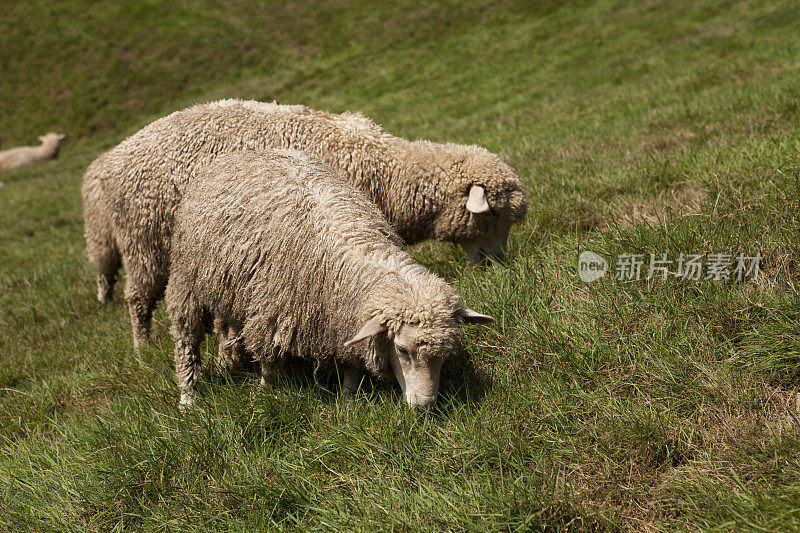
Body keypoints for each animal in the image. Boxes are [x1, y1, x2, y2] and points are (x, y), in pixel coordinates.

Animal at [84, 98, 524, 350]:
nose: (500, 264)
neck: (386, 171)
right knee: (137, 298)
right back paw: (142, 348)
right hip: (144, 242)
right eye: (493, 215)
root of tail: (111, 162)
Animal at [166, 150, 494, 408]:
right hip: (186, 280)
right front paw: (266, 393)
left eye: (446, 354)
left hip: (231, 285)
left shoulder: (341, 318)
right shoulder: (273, 313)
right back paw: (188, 398)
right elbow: (270, 361)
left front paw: (348, 400)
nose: (424, 406)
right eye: (402, 350)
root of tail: (238, 154)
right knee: (185, 337)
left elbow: (350, 365)